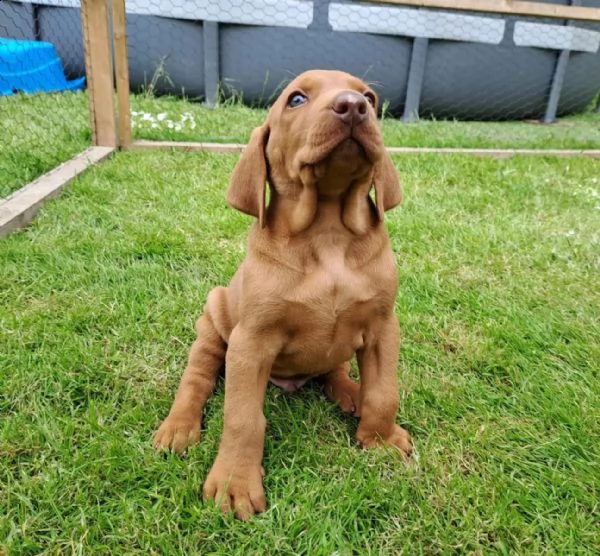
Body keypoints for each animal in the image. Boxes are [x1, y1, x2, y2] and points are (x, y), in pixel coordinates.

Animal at [154, 70, 412, 520]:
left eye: (369, 97)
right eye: (296, 99)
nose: (353, 107)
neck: (327, 232)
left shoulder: (383, 327)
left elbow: (383, 393)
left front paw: (379, 441)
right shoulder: (251, 342)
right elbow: (242, 417)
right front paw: (235, 483)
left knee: (334, 370)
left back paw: (351, 393)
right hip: (213, 319)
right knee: (197, 377)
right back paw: (178, 427)